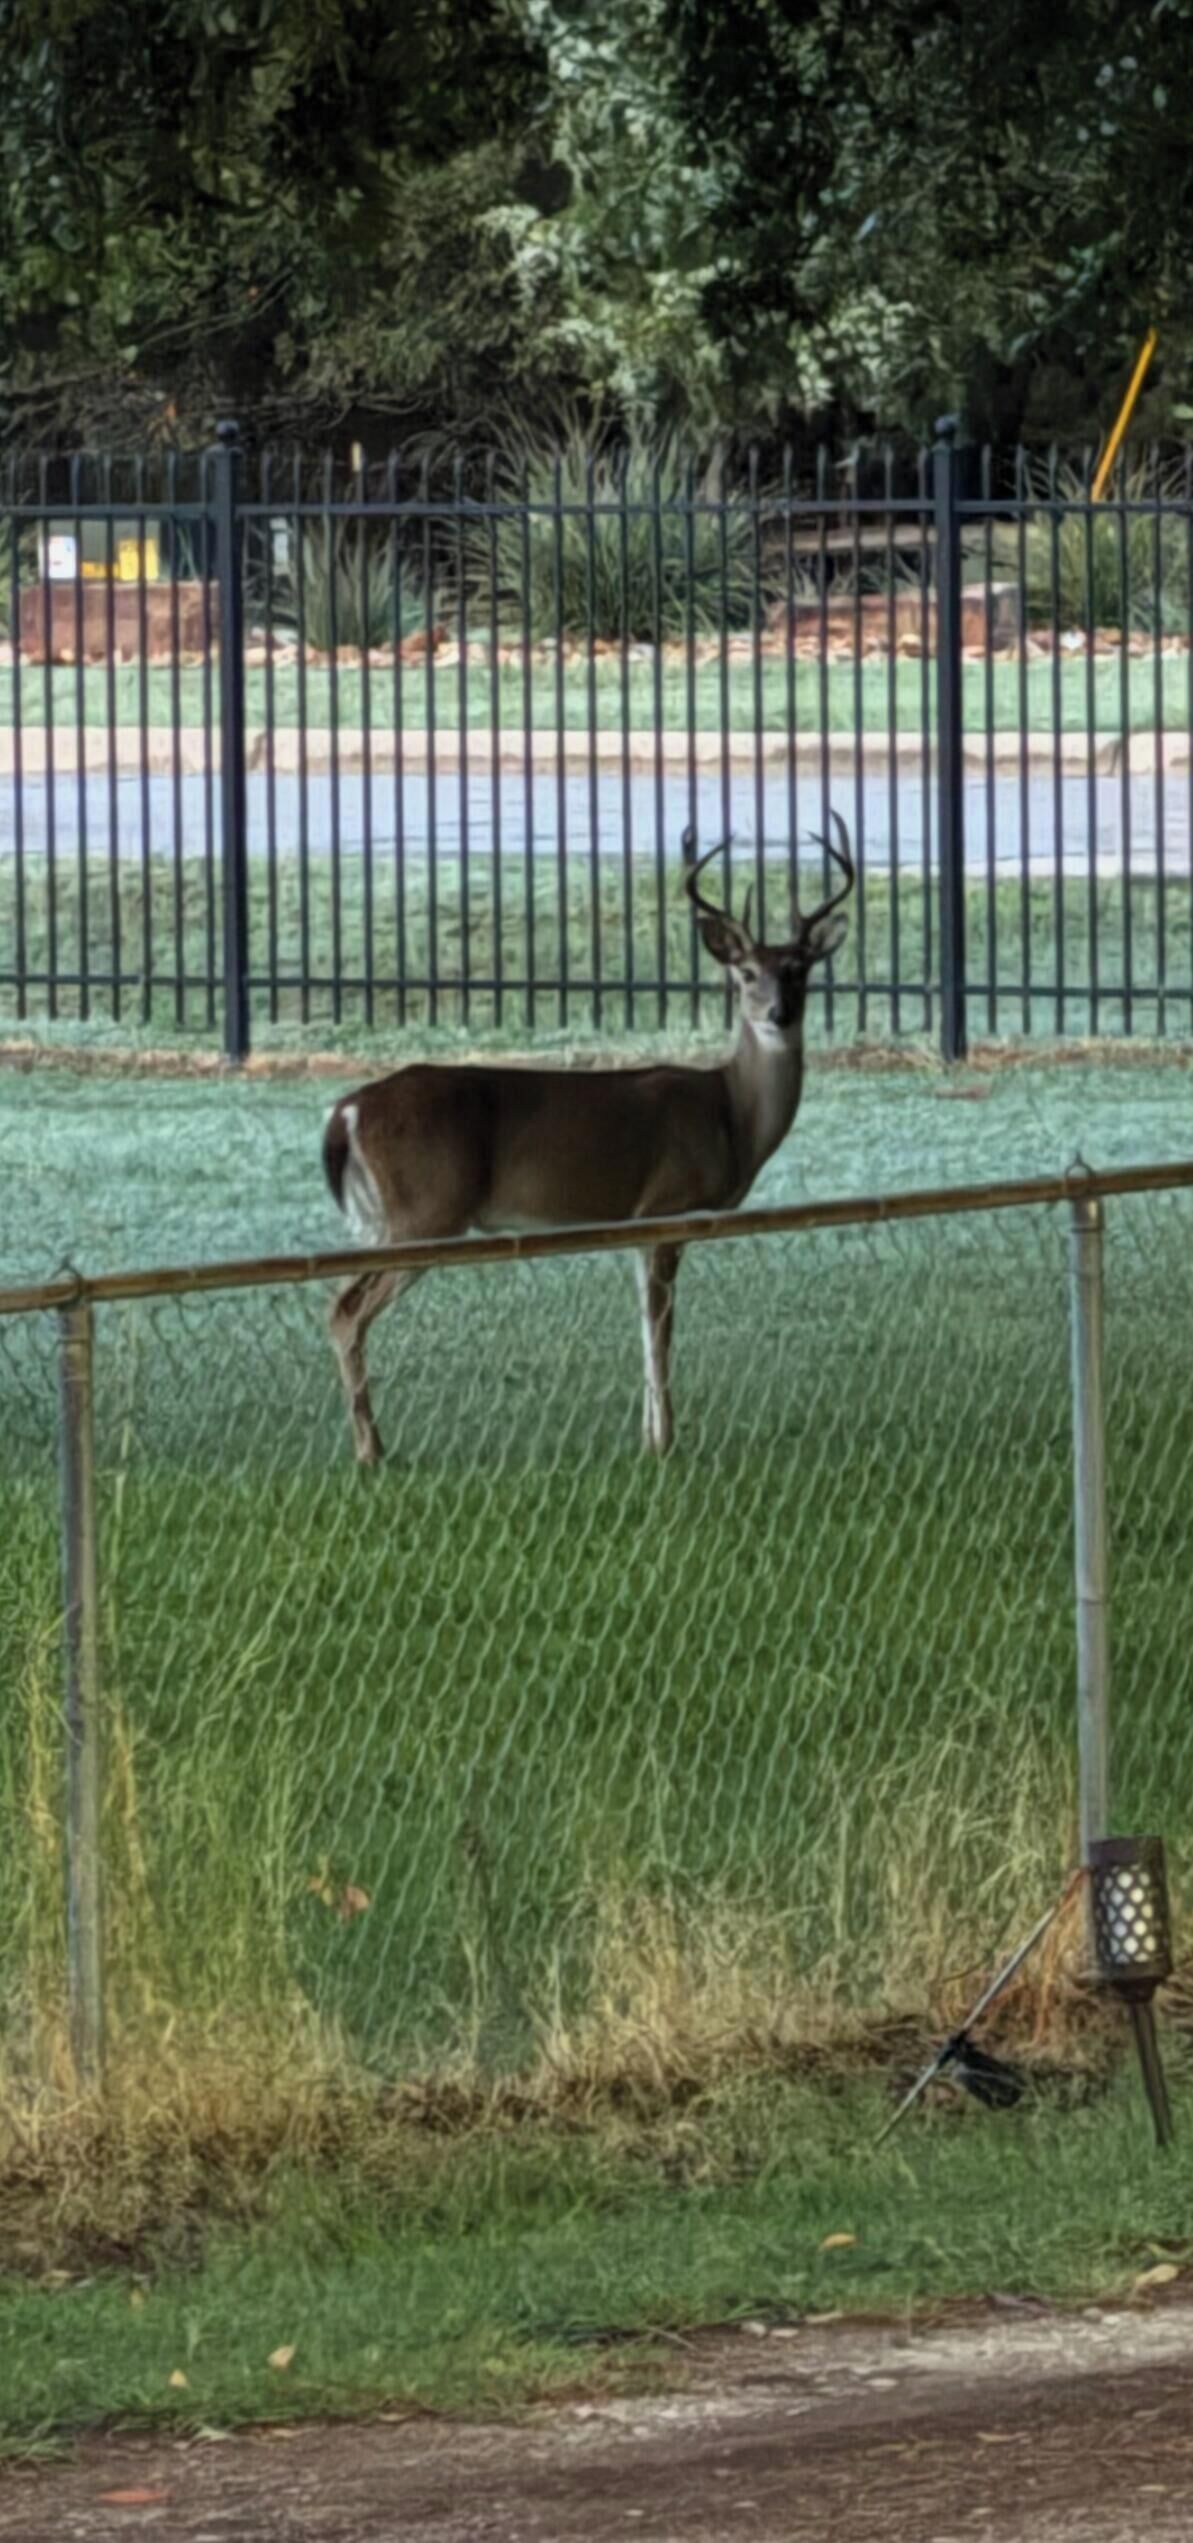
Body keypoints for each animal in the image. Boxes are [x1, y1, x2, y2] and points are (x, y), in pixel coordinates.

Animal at [323, 815, 854, 1464]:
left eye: (799, 968)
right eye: (745, 974)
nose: (777, 1013)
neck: (730, 1113)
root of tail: (347, 1110)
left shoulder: (636, 1223)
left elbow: (643, 1325)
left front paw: (649, 1433)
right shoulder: (667, 1206)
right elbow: (661, 1330)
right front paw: (666, 1442)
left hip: (384, 1222)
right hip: (424, 1212)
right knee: (346, 1310)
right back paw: (372, 1451)